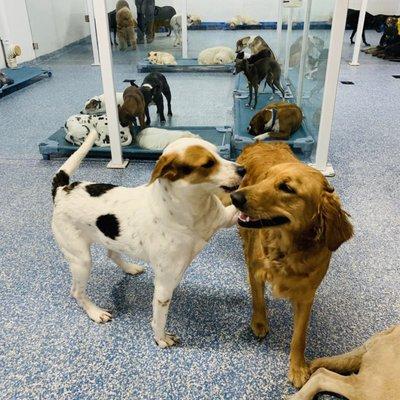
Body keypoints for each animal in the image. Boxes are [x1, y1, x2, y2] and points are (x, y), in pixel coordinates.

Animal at [51, 131, 245, 346]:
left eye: (219, 154)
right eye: (208, 164)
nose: (243, 169)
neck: (190, 208)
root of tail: (62, 190)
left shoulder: (226, 218)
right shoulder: (164, 283)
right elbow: (160, 316)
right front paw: (160, 338)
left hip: (110, 240)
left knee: (112, 254)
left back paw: (129, 268)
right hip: (81, 260)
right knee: (77, 292)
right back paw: (95, 312)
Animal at [231, 141, 354, 388]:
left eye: (286, 188)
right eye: (265, 178)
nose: (235, 197)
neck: (286, 251)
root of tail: (261, 141)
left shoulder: (307, 295)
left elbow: (299, 336)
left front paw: (297, 367)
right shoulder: (256, 271)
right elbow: (258, 299)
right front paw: (259, 322)